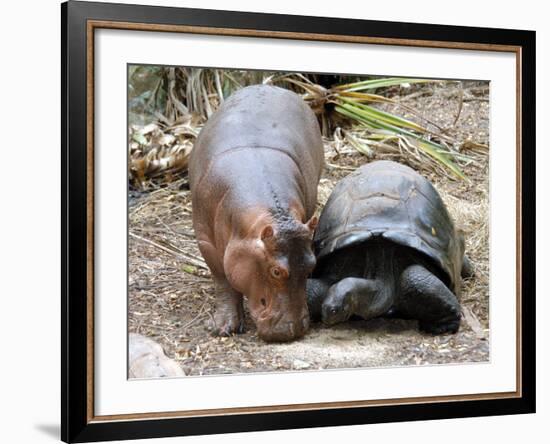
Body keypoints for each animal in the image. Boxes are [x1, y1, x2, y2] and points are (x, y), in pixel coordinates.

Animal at [191, 85, 326, 342]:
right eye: (276, 271)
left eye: (312, 265)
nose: (293, 329)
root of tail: (270, 85)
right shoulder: (206, 242)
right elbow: (222, 281)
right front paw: (222, 328)